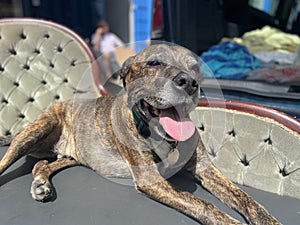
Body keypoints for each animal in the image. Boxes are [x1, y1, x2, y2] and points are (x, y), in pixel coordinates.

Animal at [0, 44, 282, 225]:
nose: (189, 83)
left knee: (41, 164)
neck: (165, 137)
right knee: (7, 160)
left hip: (72, 156)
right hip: (36, 131)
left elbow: (247, 199)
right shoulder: (151, 179)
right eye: (154, 63)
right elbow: (205, 205)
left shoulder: (205, 168)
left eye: (195, 68)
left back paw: (41, 183)